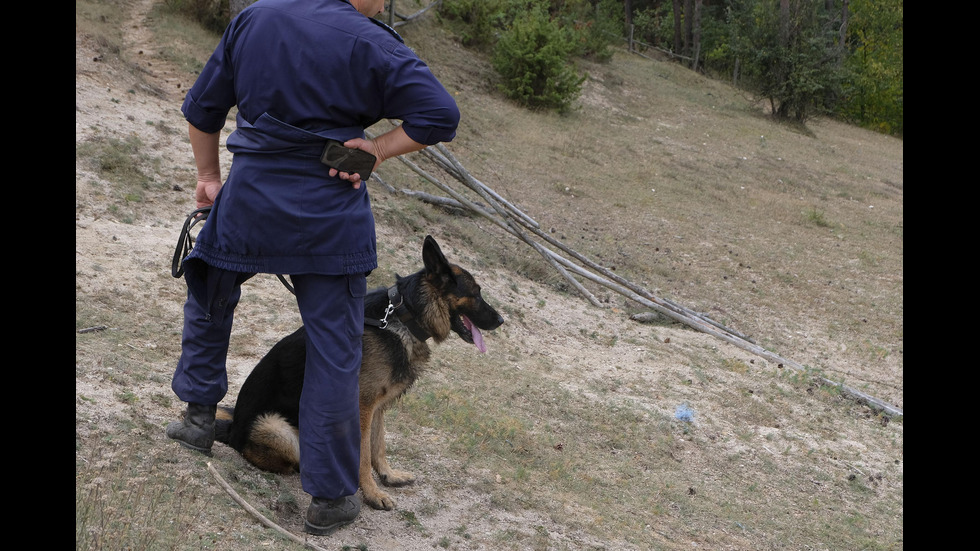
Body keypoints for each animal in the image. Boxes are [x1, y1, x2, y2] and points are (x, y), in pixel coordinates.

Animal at [215, 235, 506, 512]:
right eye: (476, 293)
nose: (502, 321)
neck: (401, 317)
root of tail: (232, 430)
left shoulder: (377, 406)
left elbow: (378, 445)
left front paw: (388, 476)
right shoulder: (362, 406)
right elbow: (364, 455)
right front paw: (372, 494)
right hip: (276, 428)